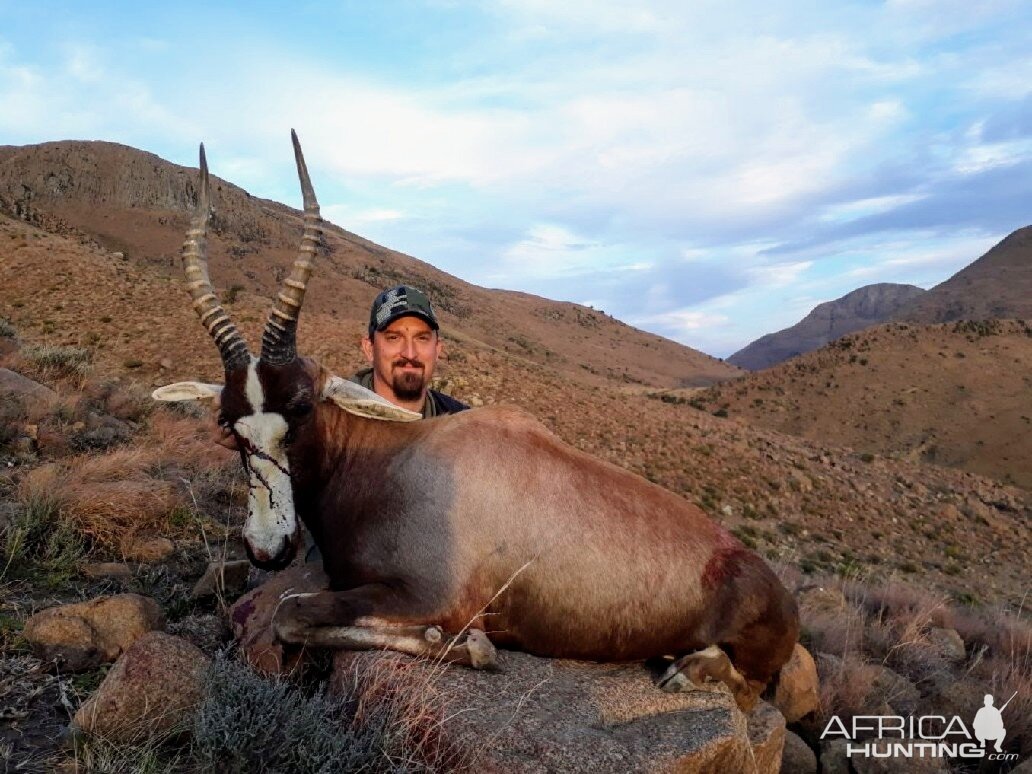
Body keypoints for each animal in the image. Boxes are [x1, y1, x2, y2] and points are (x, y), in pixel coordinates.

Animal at [154, 130, 796, 714]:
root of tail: (773, 587)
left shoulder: (431, 596)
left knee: (747, 688)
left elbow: (293, 613)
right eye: (228, 420)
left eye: (303, 406)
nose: (268, 549)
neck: (391, 459)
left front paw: (474, 647)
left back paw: (685, 670)